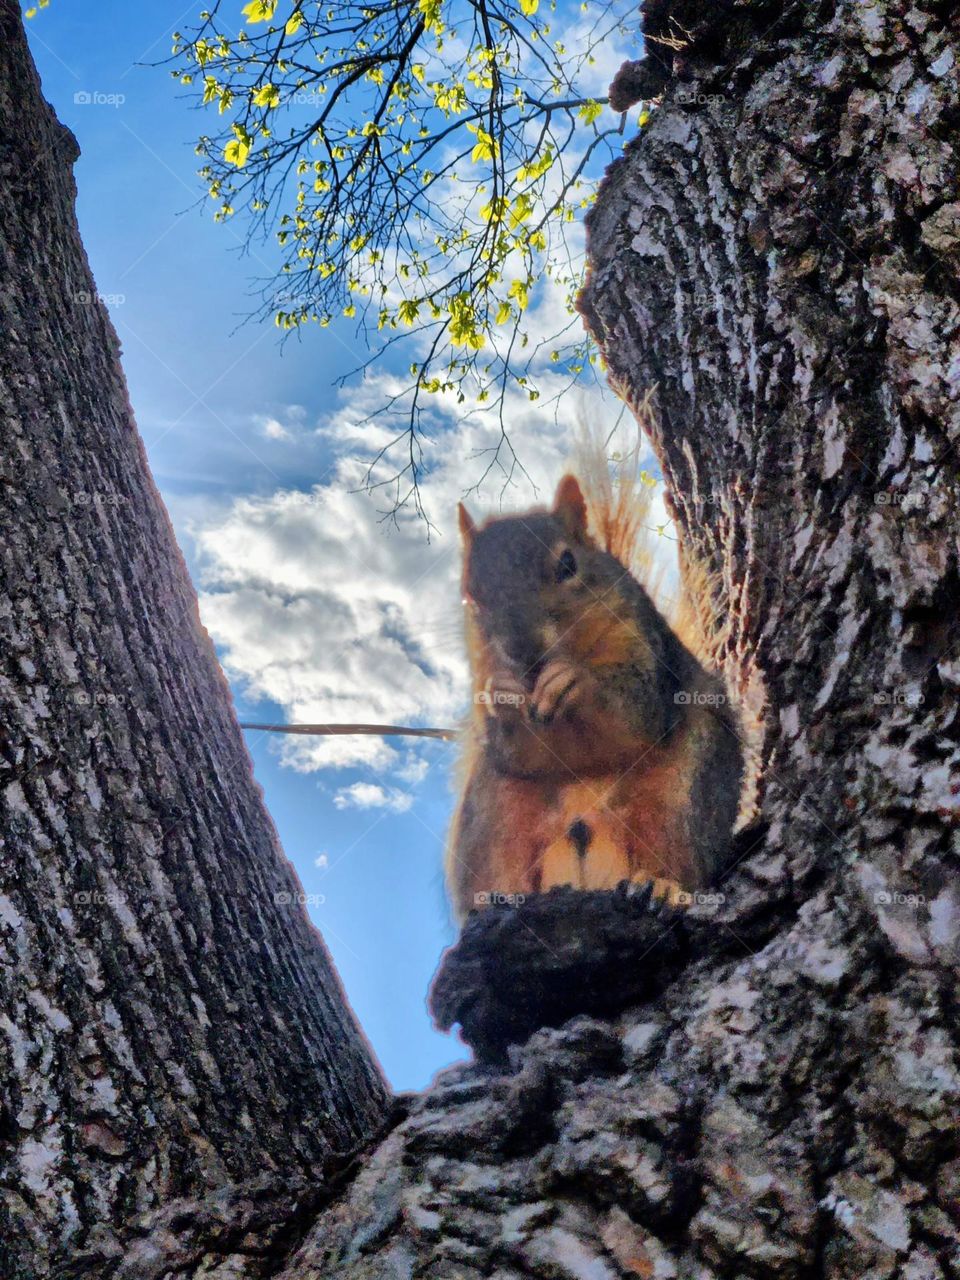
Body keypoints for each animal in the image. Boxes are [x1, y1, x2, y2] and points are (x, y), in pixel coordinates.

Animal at [445, 443, 744, 922]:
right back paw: (500, 898)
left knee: (676, 854)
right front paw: (504, 694)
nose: (524, 653)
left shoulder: (644, 647)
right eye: (469, 596)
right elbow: (516, 750)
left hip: (682, 793)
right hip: (492, 814)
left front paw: (574, 680)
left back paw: (663, 887)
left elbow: (636, 712)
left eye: (568, 564)